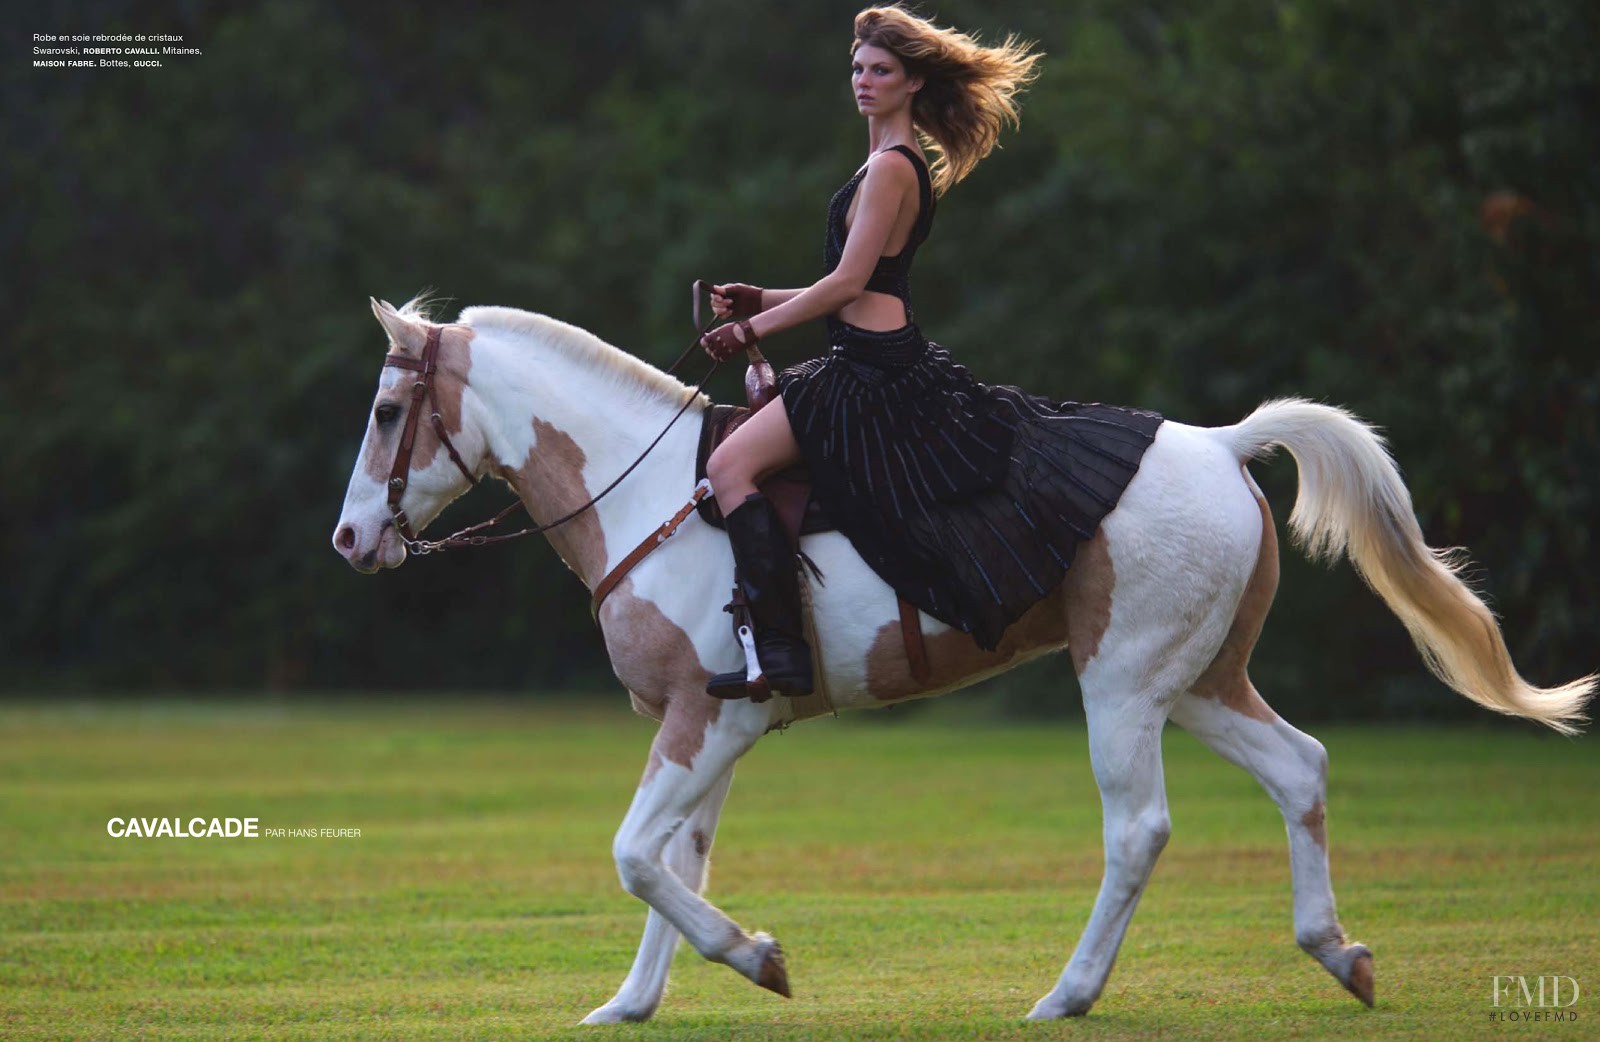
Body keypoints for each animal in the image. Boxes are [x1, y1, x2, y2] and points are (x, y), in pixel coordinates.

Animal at [328, 297, 1587, 1024]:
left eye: (388, 410)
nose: (348, 540)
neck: (650, 497)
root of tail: (1220, 444)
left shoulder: (704, 721)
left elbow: (639, 855)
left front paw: (757, 956)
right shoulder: (713, 724)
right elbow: (674, 857)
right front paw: (631, 1002)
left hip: (1122, 684)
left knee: (1139, 827)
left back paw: (1067, 993)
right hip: (1196, 681)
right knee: (1301, 768)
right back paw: (1337, 953)